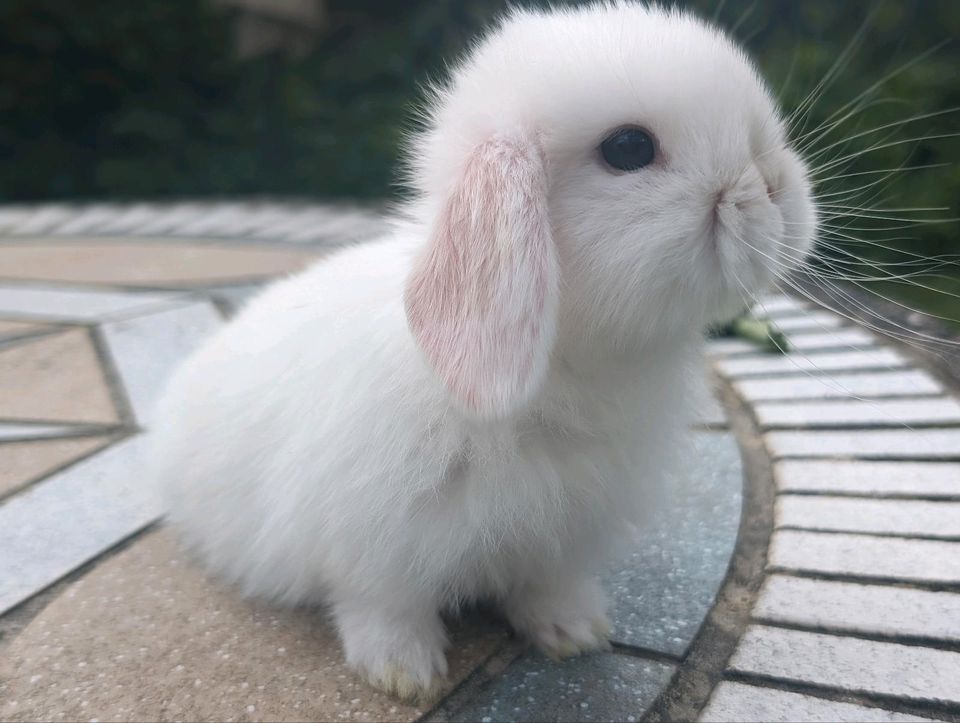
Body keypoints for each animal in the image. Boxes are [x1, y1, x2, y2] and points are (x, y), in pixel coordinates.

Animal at [150, 0, 808, 700]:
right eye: (628, 148)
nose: (775, 185)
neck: (571, 365)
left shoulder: (561, 535)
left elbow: (548, 586)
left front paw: (576, 634)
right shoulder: (372, 548)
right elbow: (383, 608)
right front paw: (405, 673)